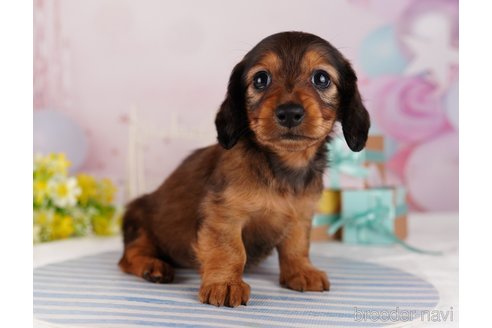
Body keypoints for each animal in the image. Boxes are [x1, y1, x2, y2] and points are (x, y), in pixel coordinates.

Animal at [118, 31, 368, 308]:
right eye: (261, 79)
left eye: (321, 78)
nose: (289, 113)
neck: (281, 167)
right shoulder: (225, 214)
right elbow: (230, 250)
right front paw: (225, 284)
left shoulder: (300, 216)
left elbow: (297, 246)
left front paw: (301, 271)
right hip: (139, 222)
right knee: (130, 255)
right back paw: (153, 266)